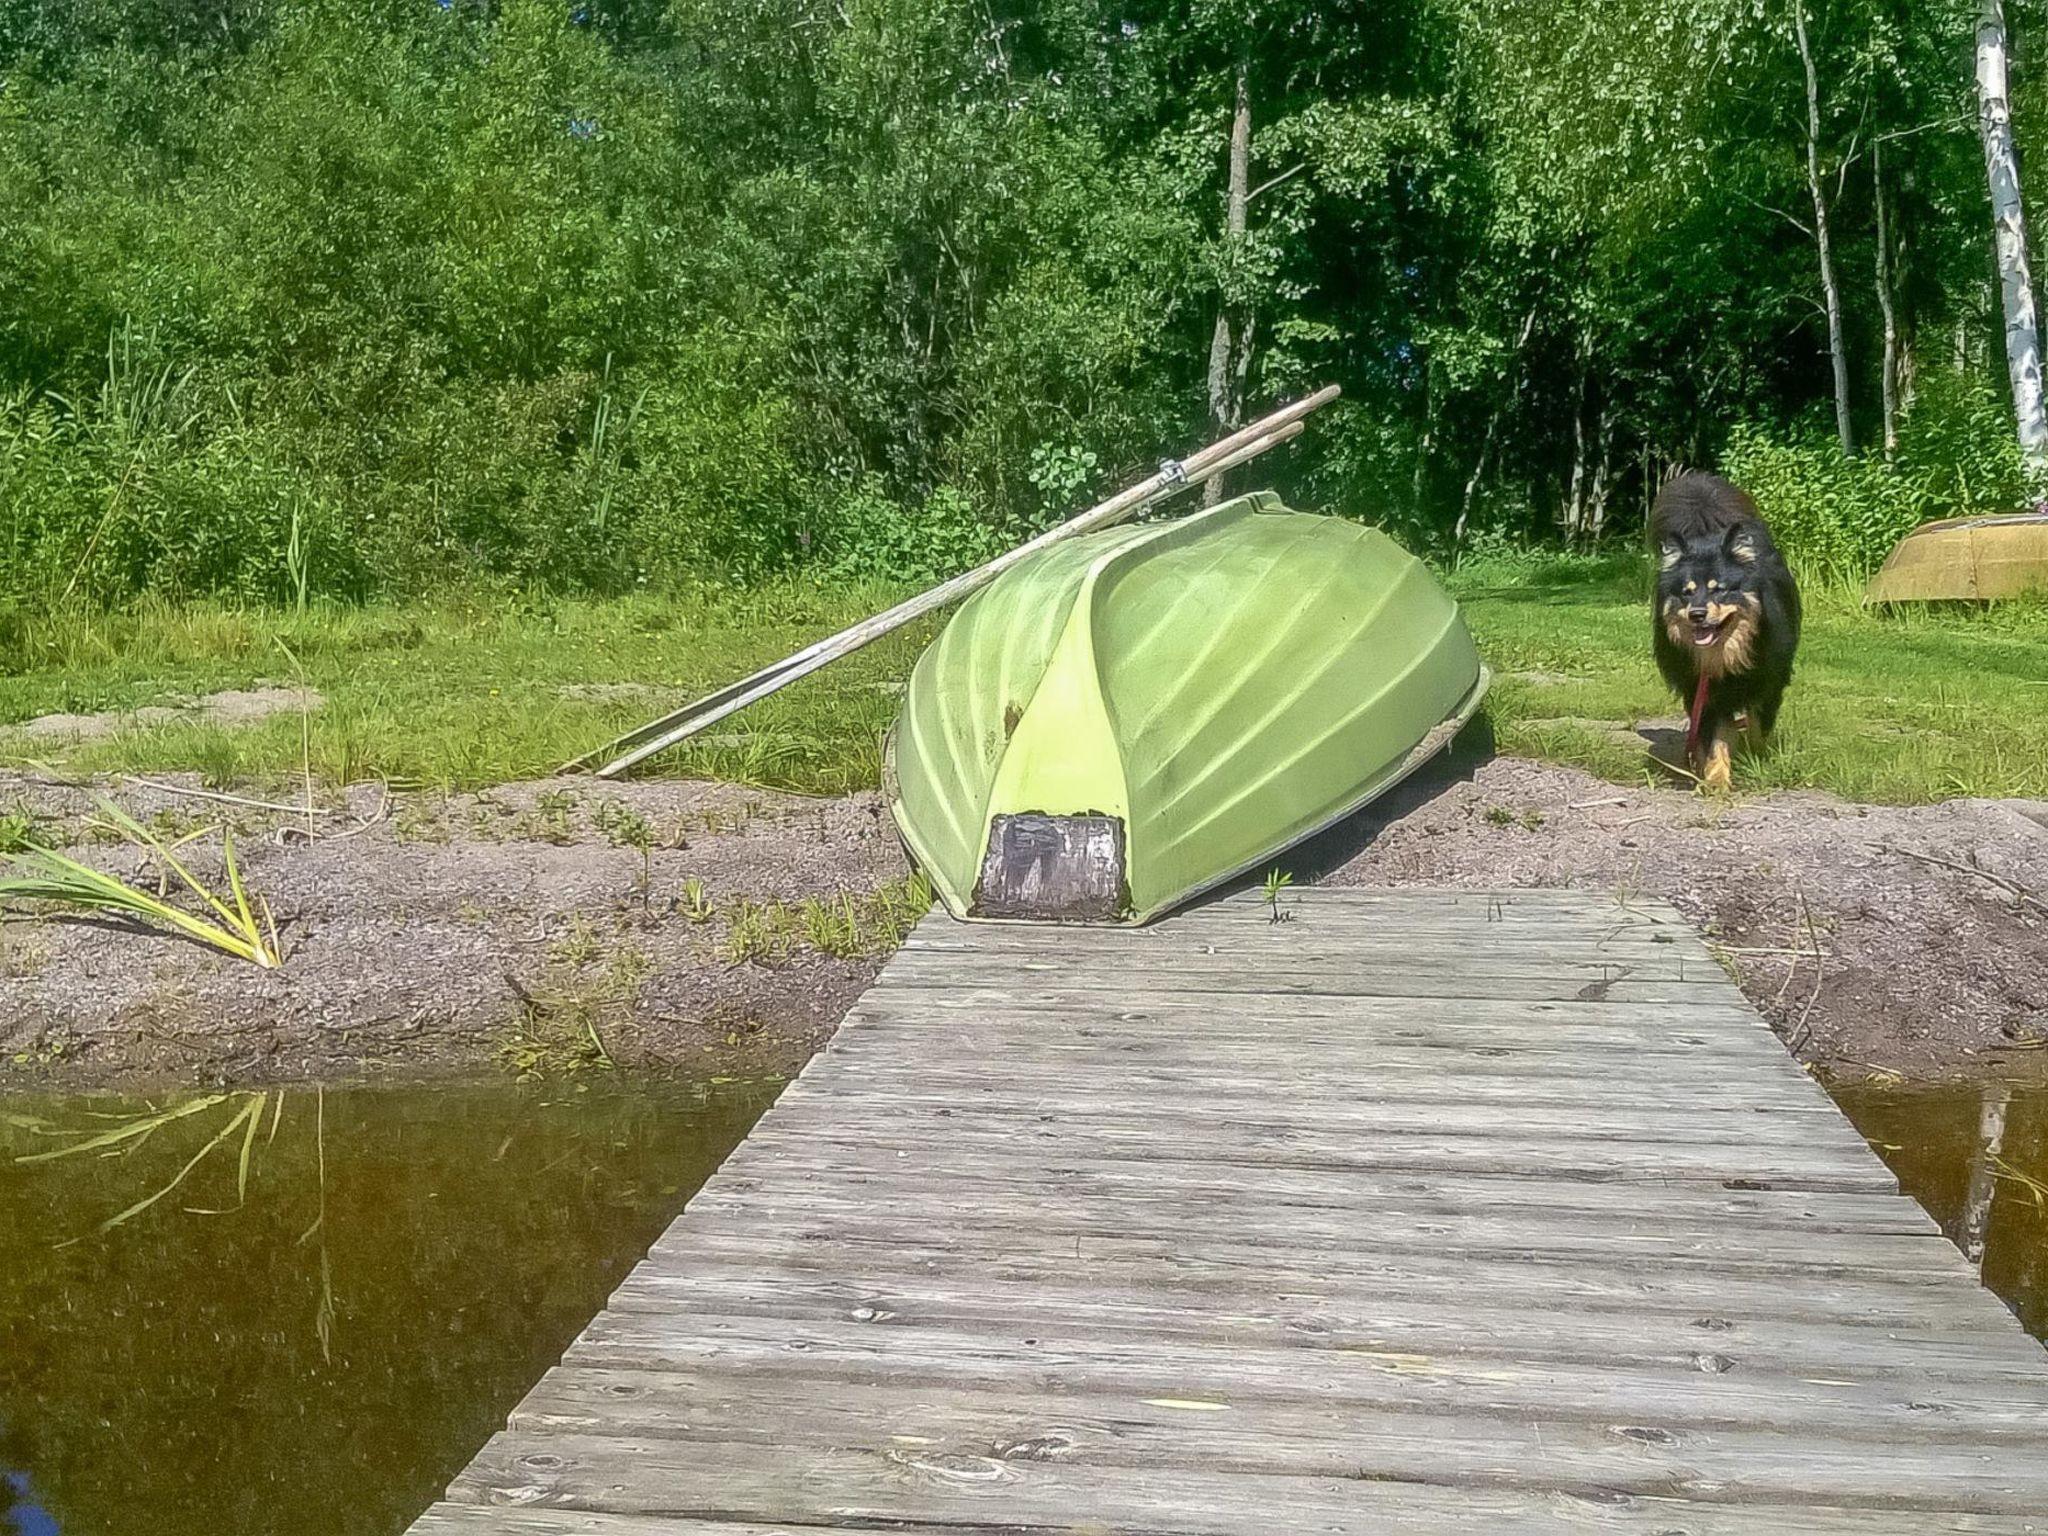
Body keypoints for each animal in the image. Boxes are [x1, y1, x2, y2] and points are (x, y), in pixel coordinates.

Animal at [1654, 475, 1802, 794]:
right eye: (1686, 592)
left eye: (1719, 589)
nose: (1697, 614)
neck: (1725, 652)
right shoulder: (1707, 692)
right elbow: (1716, 739)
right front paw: (1716, 779)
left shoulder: (1768, 682)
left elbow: (1759, 725)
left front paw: (1757, 758)